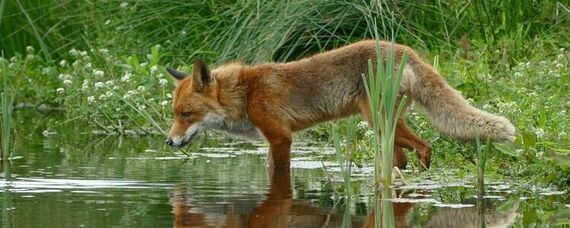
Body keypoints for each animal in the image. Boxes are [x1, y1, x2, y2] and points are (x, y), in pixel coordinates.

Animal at [163, 40, 516, 169]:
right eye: (174, 115)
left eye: (186, 114)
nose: (169, 141)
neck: (246, 94)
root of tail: (406, 50)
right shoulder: (275, 139)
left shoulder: (281, 138)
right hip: (386, 128)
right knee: (403, 157)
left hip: (379, 121)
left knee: (426, 147)